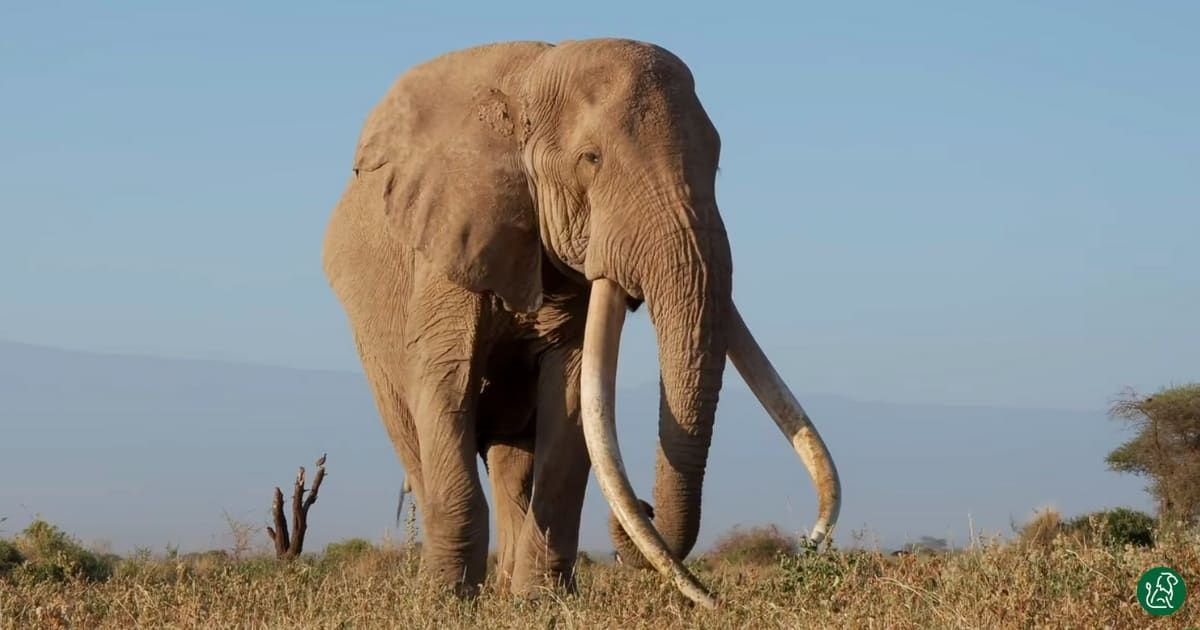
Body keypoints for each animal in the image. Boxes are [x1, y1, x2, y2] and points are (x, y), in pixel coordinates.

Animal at [321, 38, 840, 607]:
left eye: (718, 162)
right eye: (590, 159)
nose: (644, 511)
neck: (529, 81)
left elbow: (570, 398)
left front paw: (539, 603)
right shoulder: (448, 240)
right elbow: (445, 380)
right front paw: (444, 603)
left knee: (511, 463)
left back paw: (507, 592)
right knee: (413, 438)